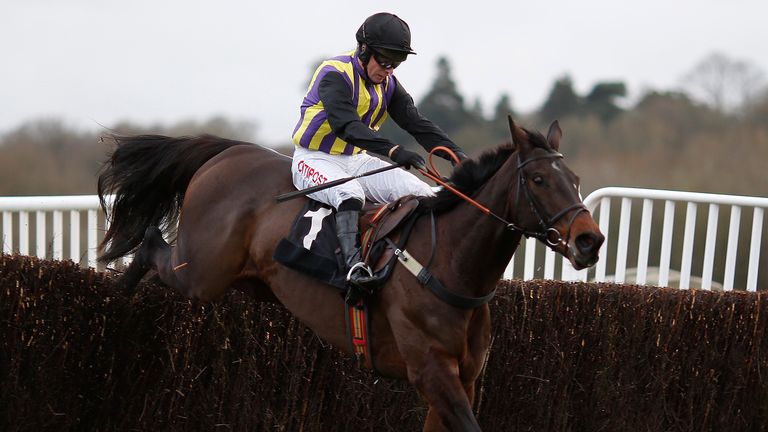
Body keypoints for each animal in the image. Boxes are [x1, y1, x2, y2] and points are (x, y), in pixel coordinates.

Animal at [96, 116, 604, 430]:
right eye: (538, 180)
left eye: (576, 180)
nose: (590, 241)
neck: (448, 264)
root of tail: (226, 153)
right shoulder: (431, 371)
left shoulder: (464, 376)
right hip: (202, 273)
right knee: (151, 245)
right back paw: (117, 297)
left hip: (248, 281)